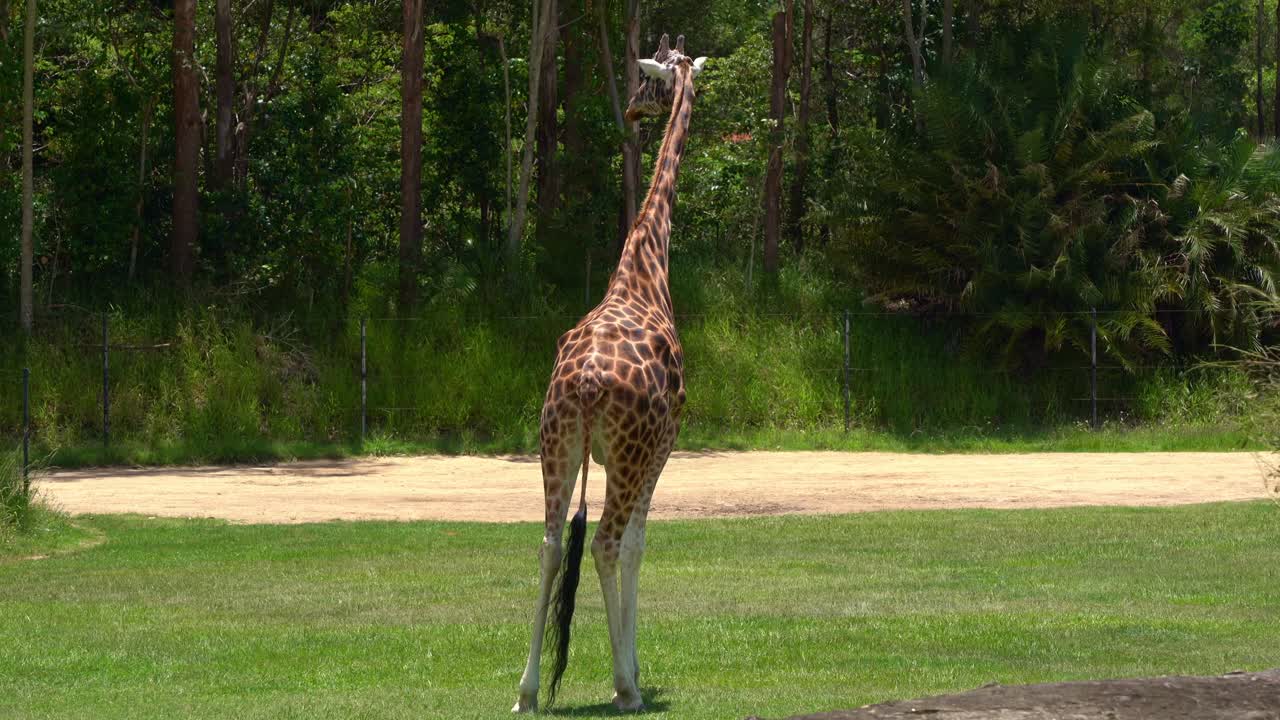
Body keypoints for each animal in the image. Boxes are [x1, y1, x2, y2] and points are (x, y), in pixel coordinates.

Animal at [513, 34, 707, 714]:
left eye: (649, 79)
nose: (632, 109)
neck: (645, 269)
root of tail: (588, 387)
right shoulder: (665, 445)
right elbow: (638, 547)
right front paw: (635, 668)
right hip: (625, 452)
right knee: (602, 542)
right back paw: (625, 689)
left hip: (557, 442)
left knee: (549, 544)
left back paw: (525, 691)